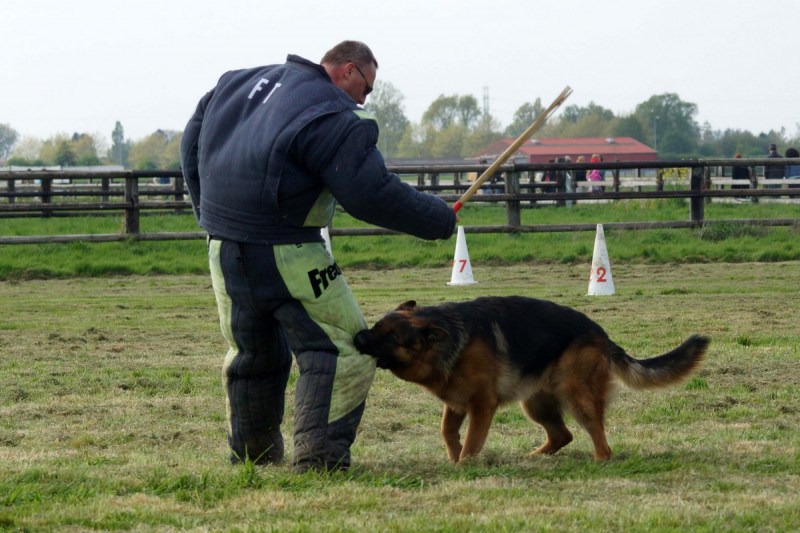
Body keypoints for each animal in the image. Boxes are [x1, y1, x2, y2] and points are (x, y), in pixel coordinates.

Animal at [354, 296, 708, 462]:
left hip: (577, 398)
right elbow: (447, 432)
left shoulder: (482, 405)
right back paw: (534, 457)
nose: (357, 337)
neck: (451, 340)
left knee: (599, 439)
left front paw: (465, 464)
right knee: (562, 435)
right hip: (536, 404)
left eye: (389, 338)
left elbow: (472, 440)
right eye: (375, 328)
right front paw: (454, 457)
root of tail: (601, 334)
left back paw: (599, 460)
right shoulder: (455, 403)